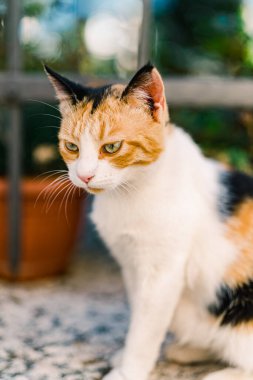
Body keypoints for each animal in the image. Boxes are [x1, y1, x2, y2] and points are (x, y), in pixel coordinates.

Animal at [45, 63, 253, 378]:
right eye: (71, 147)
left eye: (111, 147)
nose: (84, 175)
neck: (128, 193)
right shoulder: (130, 265)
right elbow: (141, 316)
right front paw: (127, 358)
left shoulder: (162, 273)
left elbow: (146, 326)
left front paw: (129, 370)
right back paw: (188, 350)